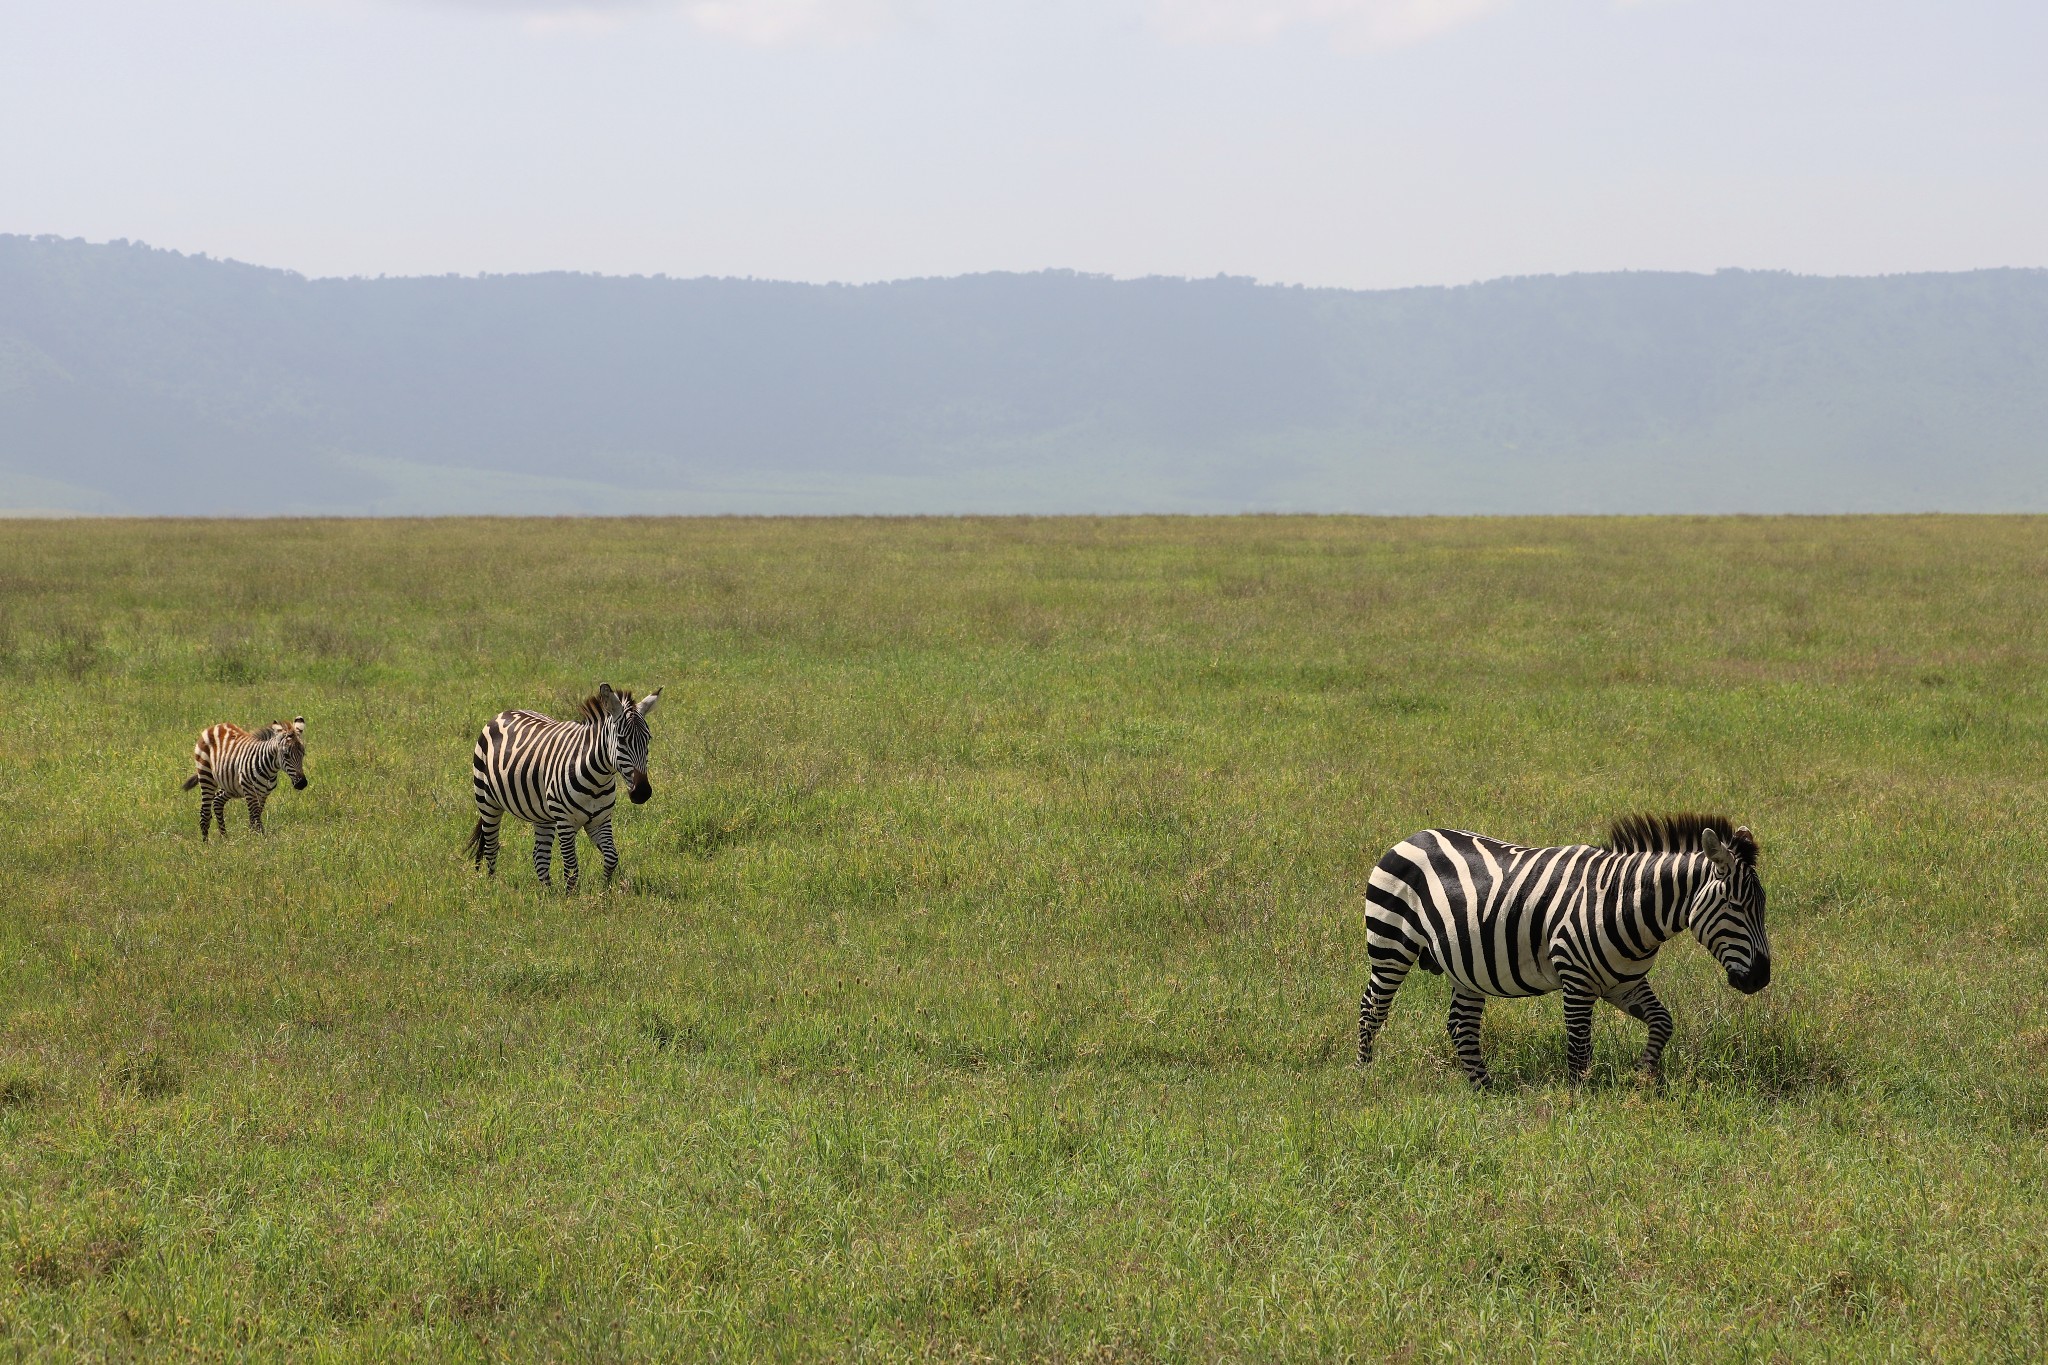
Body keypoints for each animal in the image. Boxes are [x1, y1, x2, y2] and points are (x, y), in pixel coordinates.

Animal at [464, 683, 663, 896]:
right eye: (622, 740)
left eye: (648, 739)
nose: (642, 793)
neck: (598, 780)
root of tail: (503, 713)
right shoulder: (566, 821)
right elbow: (571, 867)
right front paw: (570, 900)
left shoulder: (600, 820)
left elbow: (611, 858)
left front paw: (603, 892)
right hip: (487, 802)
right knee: (491, 847)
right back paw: (492, 887)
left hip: (542, 815)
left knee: (539, 856)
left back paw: (547, 894)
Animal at [1351, 810, 1769, 1088]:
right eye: (1736, 906)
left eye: (1762, 907)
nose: (1761, 979)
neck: (1623, 903)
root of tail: (1413, 836)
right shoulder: (1576, 980)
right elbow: (1579, 1049)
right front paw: (1577, 1106)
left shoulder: (1623, 984)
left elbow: (1663, 1022)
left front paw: (1643, 1077)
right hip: (1390, 944)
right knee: (1372, 1007)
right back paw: (1363, 1075)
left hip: (1465, 963)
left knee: (1461, 1025)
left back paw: (1484, 1089)